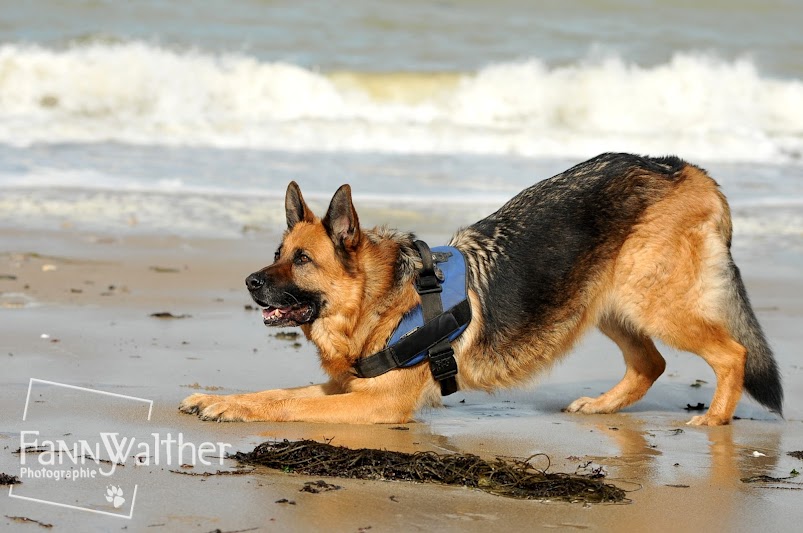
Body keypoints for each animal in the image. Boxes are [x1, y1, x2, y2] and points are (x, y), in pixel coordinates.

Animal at [179, 153, 784, 424]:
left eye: (302, 260)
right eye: (277, 254)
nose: (250, 281)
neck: (380, 297)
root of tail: (684, 168)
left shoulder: (373, 405)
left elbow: (287, 403)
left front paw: (231, 409)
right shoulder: (344, 389)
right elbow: (273, 392)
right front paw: (218, 398)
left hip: (651, 301)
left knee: (731, 352)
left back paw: (714, 420)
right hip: (605, 305)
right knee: (651, 364)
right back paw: (602, 406)